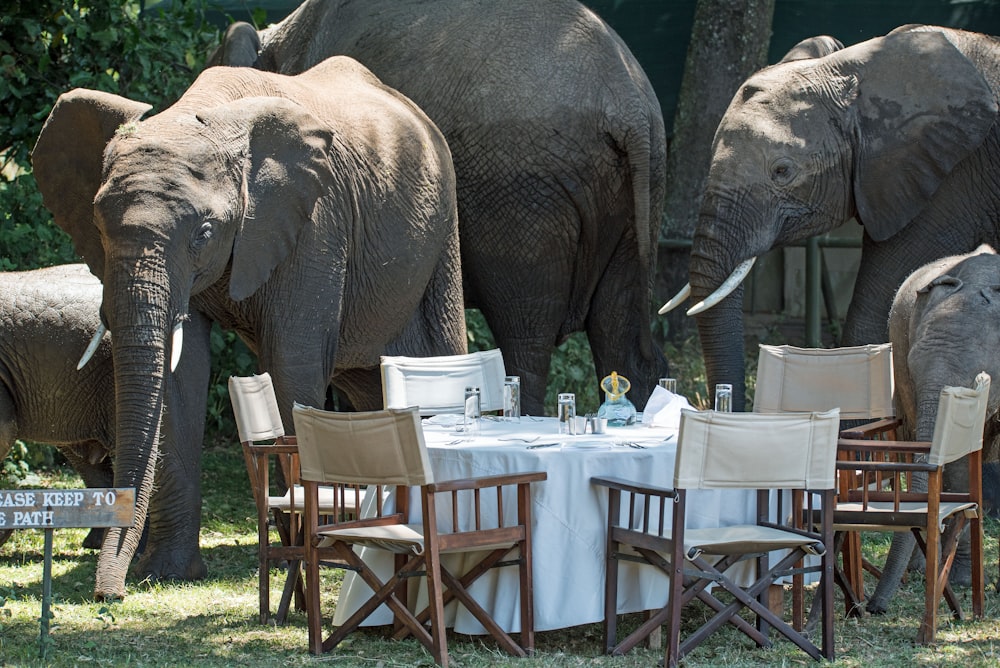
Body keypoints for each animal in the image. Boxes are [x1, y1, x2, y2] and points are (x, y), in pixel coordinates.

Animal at [29, 57, 466, 600]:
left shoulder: (316, 222)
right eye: (97, 226)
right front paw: (167, 573)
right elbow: (181, 374)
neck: (201, 115)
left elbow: (290, 362)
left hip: (442, 231)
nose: (111, 594)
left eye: (203, 233)